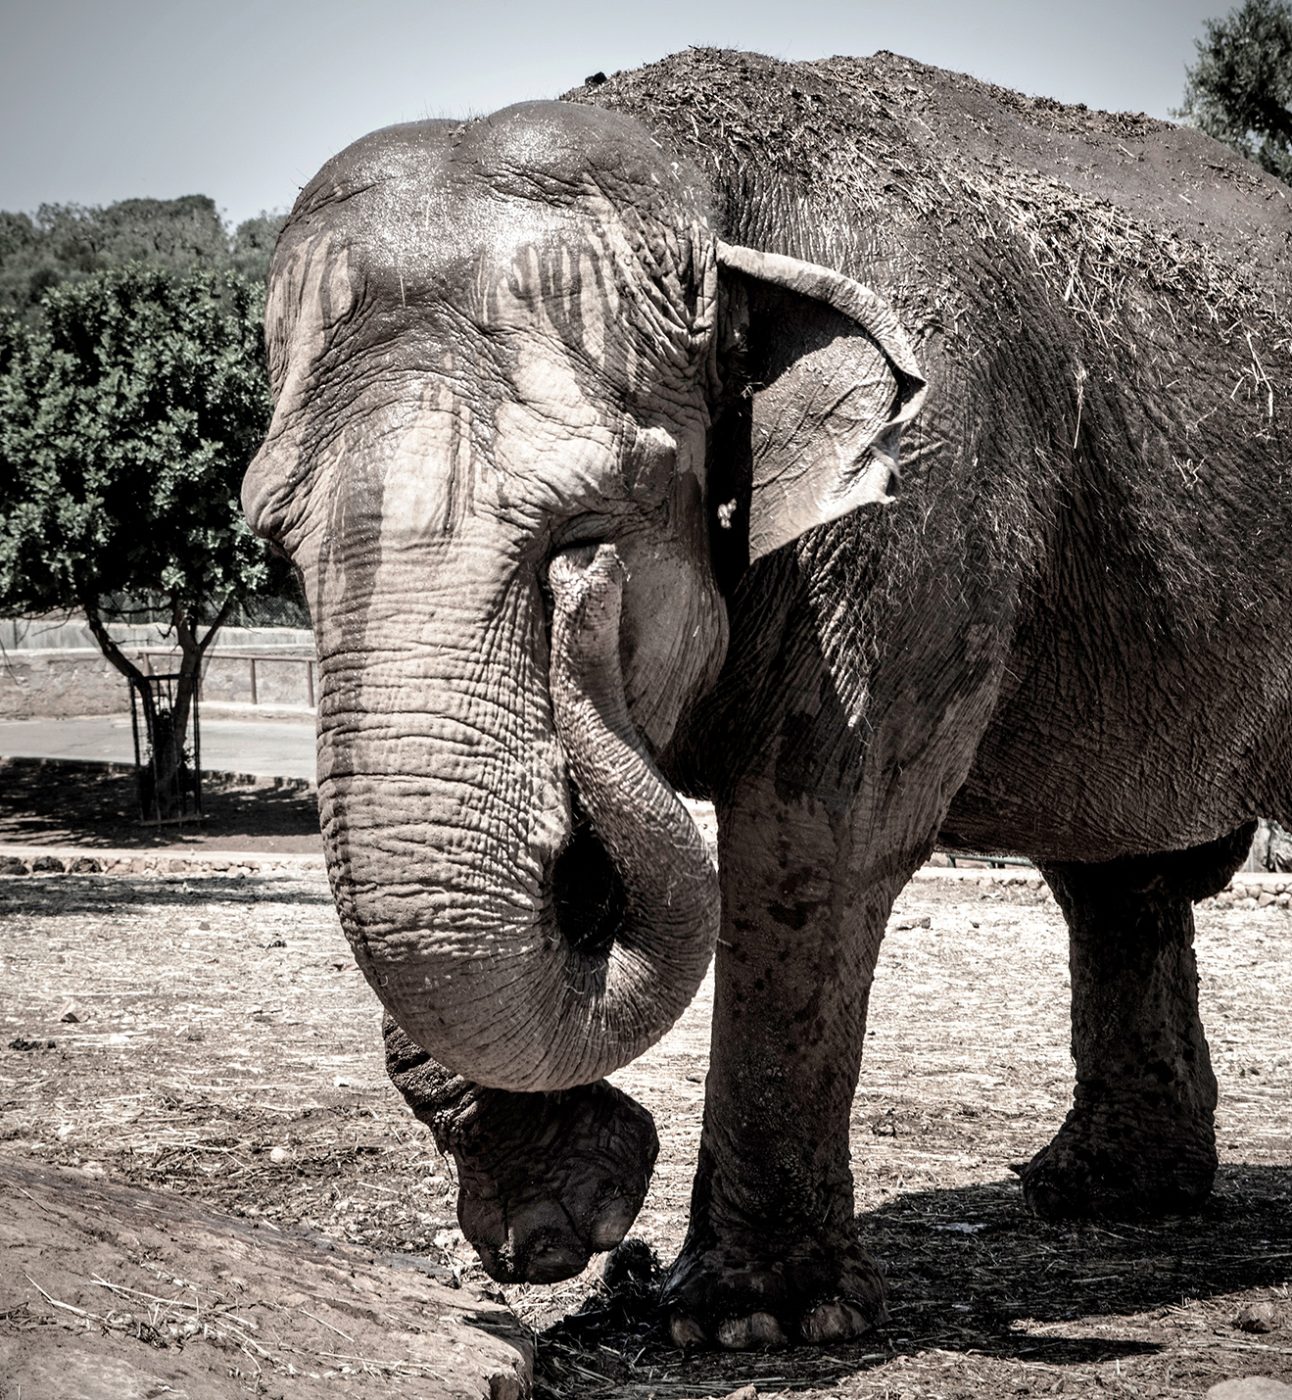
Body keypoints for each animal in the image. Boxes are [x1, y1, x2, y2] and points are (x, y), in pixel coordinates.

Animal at [243, 48, 1292, 1348]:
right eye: (274, 537)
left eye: (587, 528)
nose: (582, 609)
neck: (700, 187)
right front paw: (566, 1214)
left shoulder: (923, 499)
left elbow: (813, 839)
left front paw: (745, 1316)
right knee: (1116, 875)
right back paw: (1100, 1193)